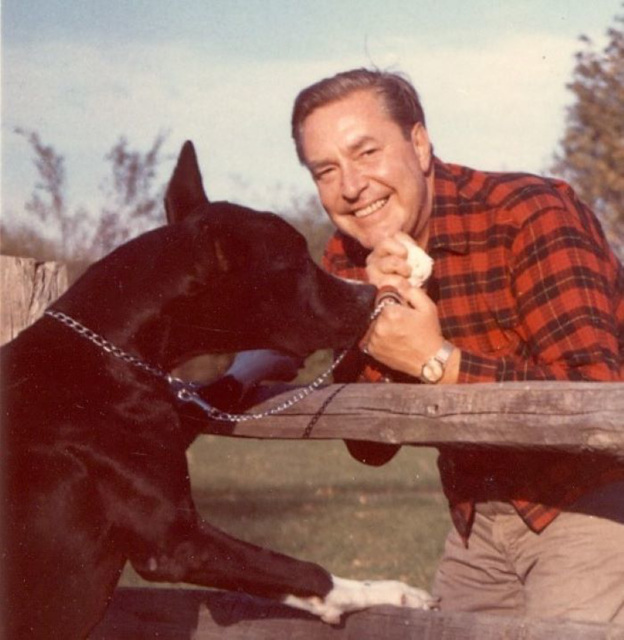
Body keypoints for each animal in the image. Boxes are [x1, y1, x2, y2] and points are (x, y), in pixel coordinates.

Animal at [2, 141, 434, 640]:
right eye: (294, 263)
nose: (369, 295)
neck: (105, 347)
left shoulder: (169, 411)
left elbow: (220, 389)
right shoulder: (178, 542)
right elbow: (301, 570)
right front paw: (390, 592)